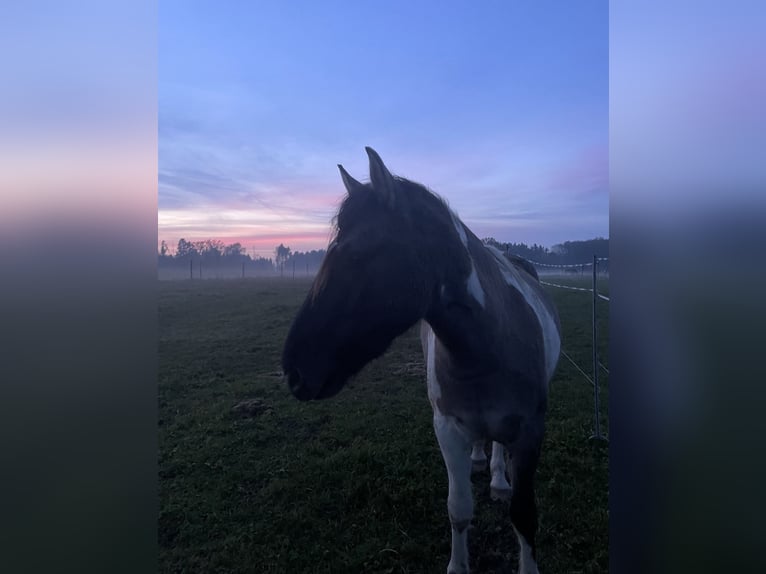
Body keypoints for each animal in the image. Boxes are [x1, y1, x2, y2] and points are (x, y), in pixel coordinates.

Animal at [282, 147, 561, 574]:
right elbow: (458, 509)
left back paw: (498, 479)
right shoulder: (447, 427)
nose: (293, 370)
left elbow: (524, 515)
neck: (488, 348)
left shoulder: (531, 432)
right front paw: (458, 565)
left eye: (357, 253)